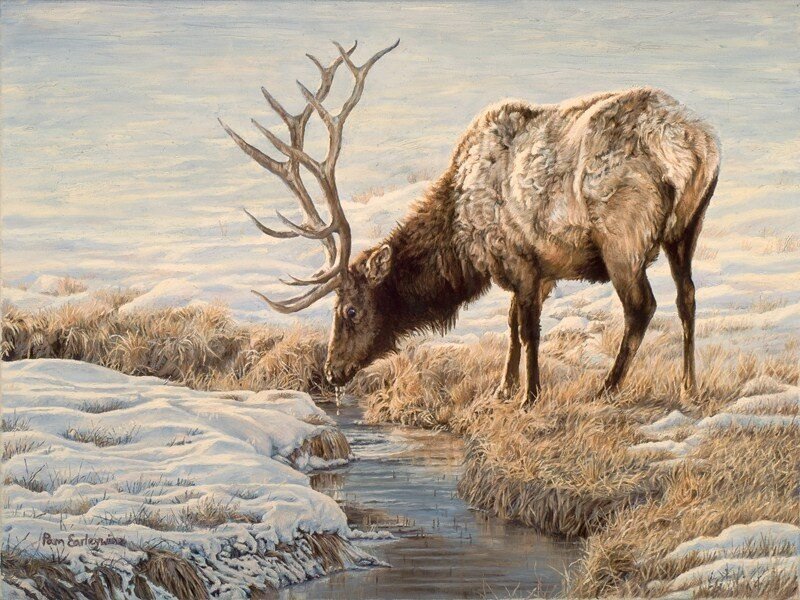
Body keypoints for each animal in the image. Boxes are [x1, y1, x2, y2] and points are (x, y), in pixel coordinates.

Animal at [220, 41, 721, 406]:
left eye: (350, 310)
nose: (332, 371)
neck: (461, 244)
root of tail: (692, 145)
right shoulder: (536, 271)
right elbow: (513, 326)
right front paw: (504, 388)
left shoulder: (520, 259)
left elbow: (528, 329)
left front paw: (529, 398)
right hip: (688, 228)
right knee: (688, 298)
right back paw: (689, 387)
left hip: (623, 236)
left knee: (642, 307)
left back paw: (607, 389)